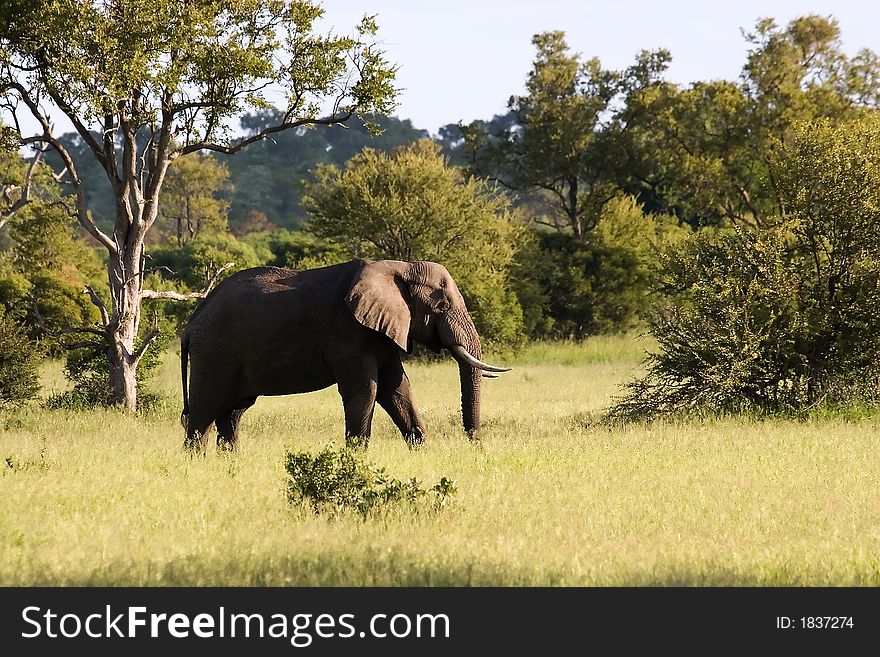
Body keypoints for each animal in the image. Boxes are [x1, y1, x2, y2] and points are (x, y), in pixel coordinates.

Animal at [179, 258, 508, 452]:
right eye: (442, 307)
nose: (475, 445)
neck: (398, 268)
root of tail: (192, 324)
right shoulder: (349, 332)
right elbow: (367, 389)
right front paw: (356, 458)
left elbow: (397, 389)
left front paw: (420, 450)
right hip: (215, 352)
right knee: (202, 414)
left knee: (232, 413)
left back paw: (230, 460)